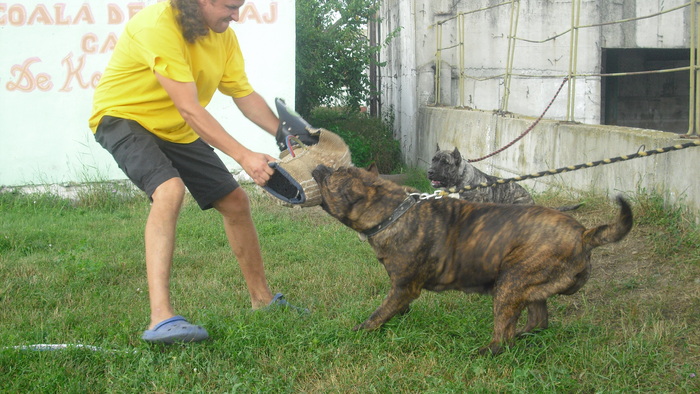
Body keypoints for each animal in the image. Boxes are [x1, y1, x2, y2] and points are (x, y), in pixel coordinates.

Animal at [312, 165, 636, 356]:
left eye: (332, 176)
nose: (319, 166)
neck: (393, 211)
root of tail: (584, 234)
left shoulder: (404, 286)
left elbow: (378, 314)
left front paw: (360, 331)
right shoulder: (401, 288)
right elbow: (394, 307)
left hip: (509, 284)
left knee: (502, 338)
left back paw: (484, 351)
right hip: (528, 285)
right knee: (538, 320)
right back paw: (524, 336)